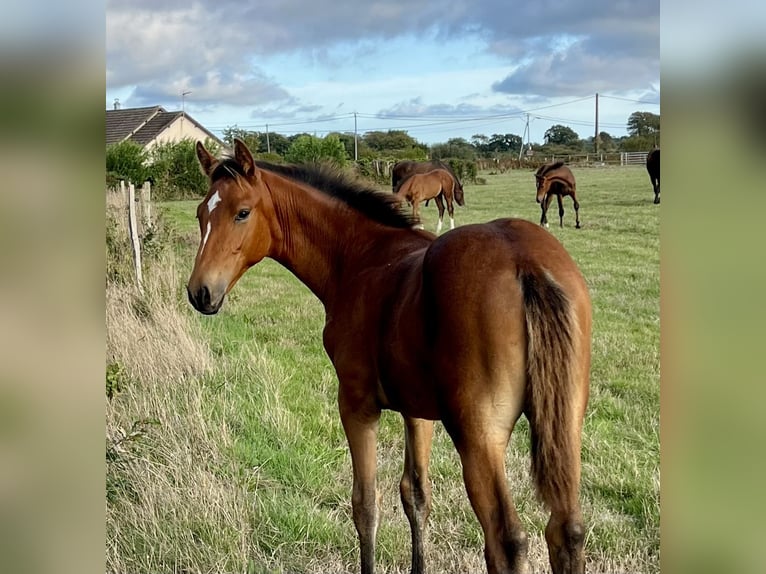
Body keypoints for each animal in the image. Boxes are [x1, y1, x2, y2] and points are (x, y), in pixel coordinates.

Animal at [187, 139, 592, 574]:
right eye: (200, 214)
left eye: (242, 212)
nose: (200, 292)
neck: (359, 255)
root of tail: (524, 263)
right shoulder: (417, 411)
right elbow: (416, 494)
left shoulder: (357, 403)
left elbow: (365, 505)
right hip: (565, 424)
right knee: (566, 532)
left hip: (479, 434)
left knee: (506, 540)